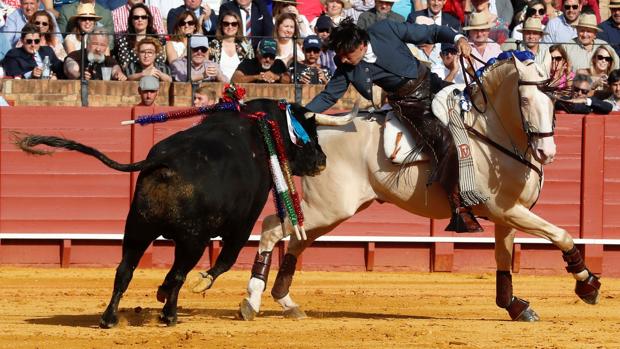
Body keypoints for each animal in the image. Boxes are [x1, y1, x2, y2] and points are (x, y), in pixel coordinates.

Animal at [14, 98, 326, 326]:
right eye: (309, 133)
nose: (322, 160)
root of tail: (166, 161)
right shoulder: (243, 223)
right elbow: (225, 260)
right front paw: (199, 284)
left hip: (137, 228)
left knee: (124, 270)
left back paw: (109, 318)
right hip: (192, 240)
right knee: (178, 273)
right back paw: (169, 314)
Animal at [199, 57, 596, 320]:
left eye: (554, 102)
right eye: (525, 100)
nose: (547, 152)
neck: (493, 134)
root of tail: (314, 128)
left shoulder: (506, 215)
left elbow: (504, 261)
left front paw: (514, 306)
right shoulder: (506, 210)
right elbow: (561, 234)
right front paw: (587, 285)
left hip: (329, 210)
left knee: (296, 239)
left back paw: (286, 301)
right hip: (328, 207)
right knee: (271, 229)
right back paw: (249, 301)